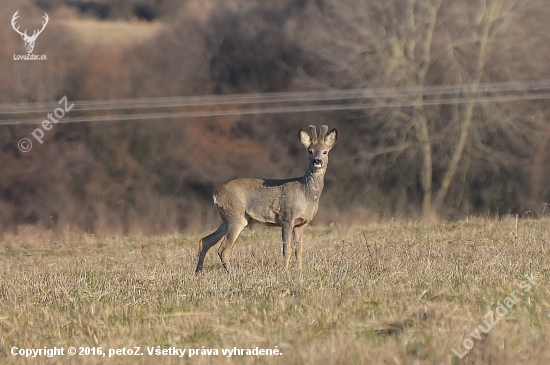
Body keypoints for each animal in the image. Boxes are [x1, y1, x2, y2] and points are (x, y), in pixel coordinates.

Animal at [196, 125, 338, 272]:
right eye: (310, 151)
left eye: (325, 151)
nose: (317, 161)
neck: (305, 194)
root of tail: (216, 193)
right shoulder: (287, 218)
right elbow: (286, 249)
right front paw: (285, 271)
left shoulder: (301, 223)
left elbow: (299, 250)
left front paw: (300, 271)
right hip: (235, 216)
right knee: (223, 250)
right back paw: (232, 273)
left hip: (226, 219)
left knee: (205, 241)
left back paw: (198, 272)